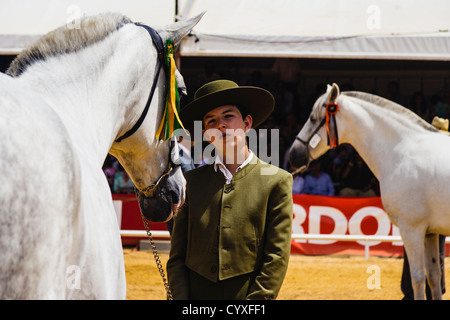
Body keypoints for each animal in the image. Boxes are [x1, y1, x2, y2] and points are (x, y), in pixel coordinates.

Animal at [290, 84, 450, 298]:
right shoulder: (430, 233)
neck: (403, 150)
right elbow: (433, 277)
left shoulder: (412, 229)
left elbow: (417, 278)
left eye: (314, 118)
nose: (293, 155)